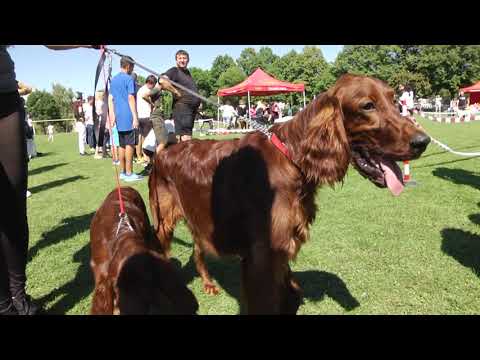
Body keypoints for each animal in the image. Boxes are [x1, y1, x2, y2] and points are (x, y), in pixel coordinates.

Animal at [148, 74, 430, 314]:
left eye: (394, 101)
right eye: (367, 106)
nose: (423, 141)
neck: (292, 159)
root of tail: (165, 149)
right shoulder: (262, 257)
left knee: (197, 248)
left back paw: (207, 283)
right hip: (163, 219)